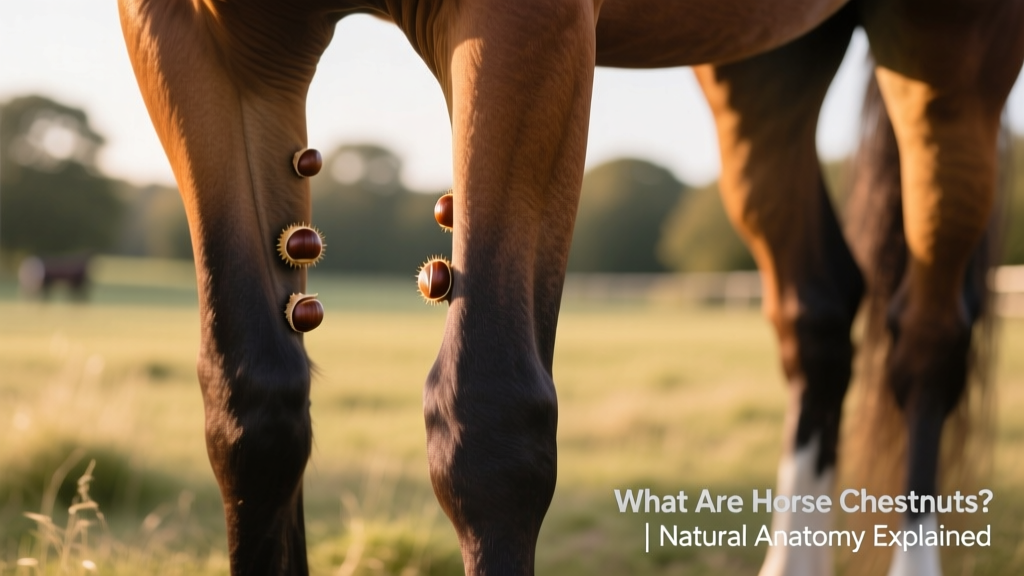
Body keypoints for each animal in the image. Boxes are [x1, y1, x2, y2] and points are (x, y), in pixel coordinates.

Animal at [117, 0, 1024, 574]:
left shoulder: (525, 22)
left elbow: (487, 421)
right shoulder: (197, 31)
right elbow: (254, 408)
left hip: (949, 52)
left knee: (926, 340)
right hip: (764, 65)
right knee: (820, 313)